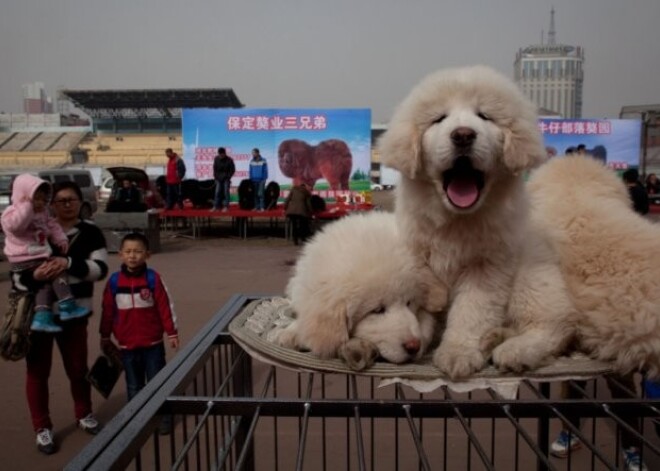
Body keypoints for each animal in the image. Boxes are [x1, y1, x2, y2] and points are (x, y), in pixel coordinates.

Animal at [378, 65, 548, 380]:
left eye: (484, 116)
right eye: (439, 119)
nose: (463, 135)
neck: (457, 220)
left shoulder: (488, 267)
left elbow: (472, 311)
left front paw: (458, 353)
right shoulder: (416, 254)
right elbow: (424, 298)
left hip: (531, 282)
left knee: (546, 326)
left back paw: (515, 351)